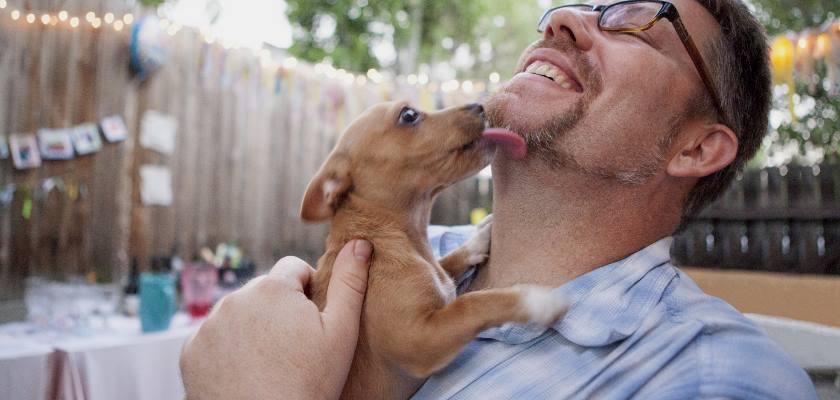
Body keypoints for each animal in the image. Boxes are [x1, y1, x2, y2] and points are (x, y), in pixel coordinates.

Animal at [298, 101, 568, 400]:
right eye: (409, 115)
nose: (479, 105)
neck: (395, 234)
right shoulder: (417, 338)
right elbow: (470, 304)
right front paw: (534, 299)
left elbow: (447, 263)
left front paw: (479, 239)